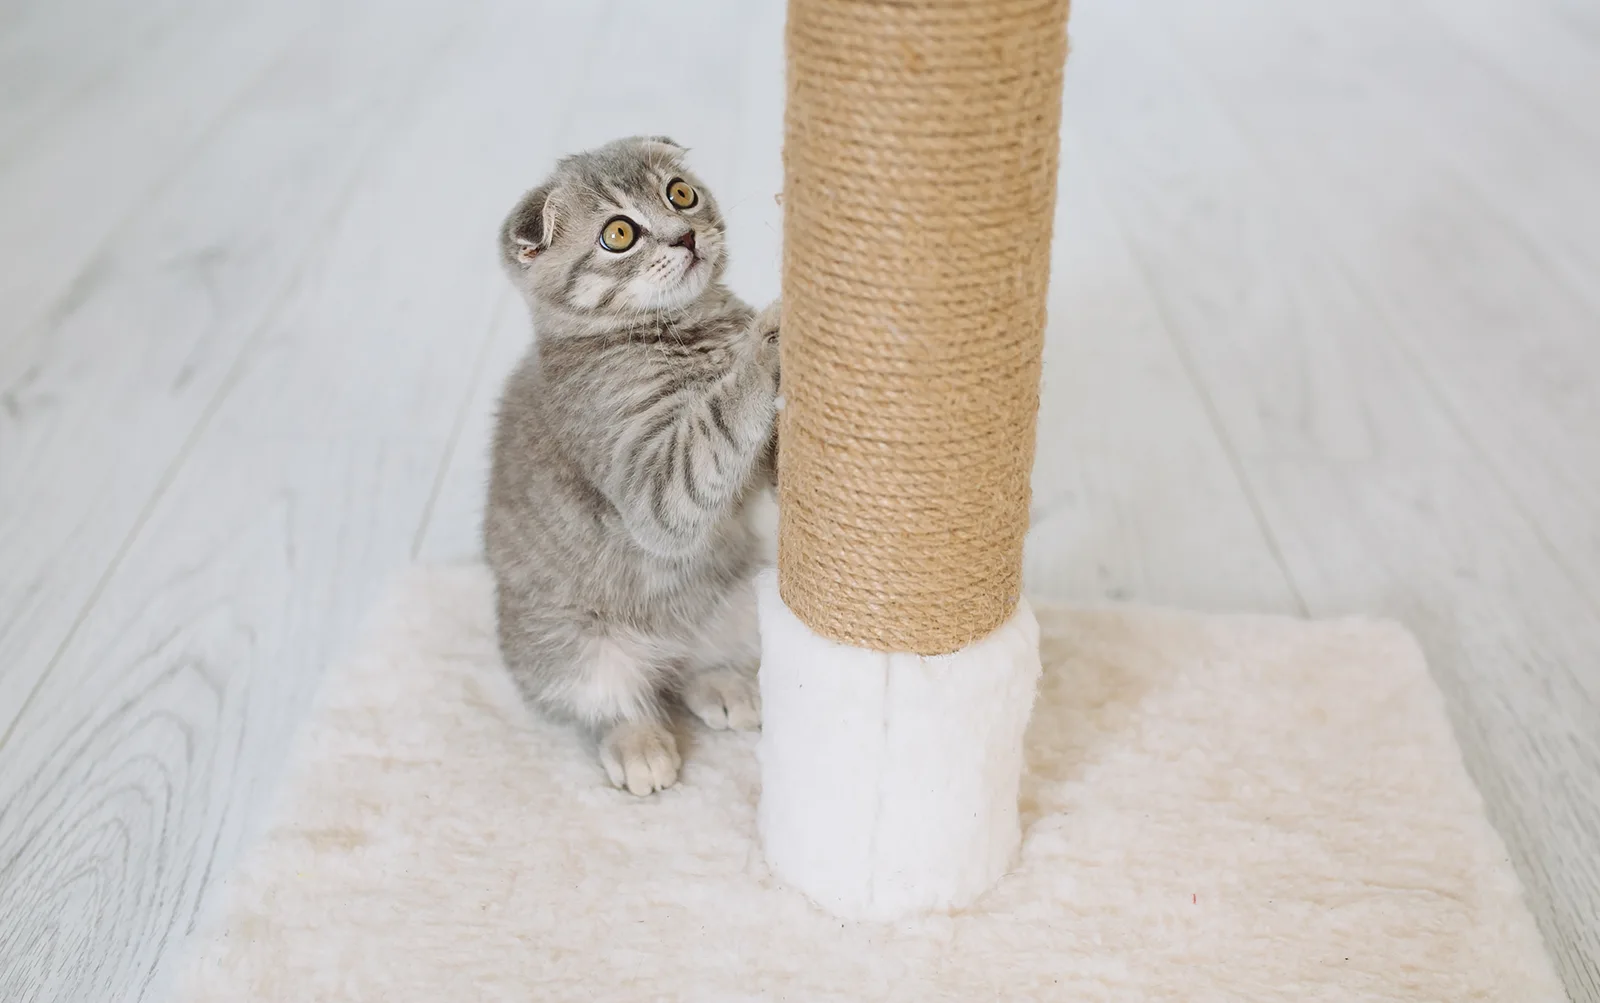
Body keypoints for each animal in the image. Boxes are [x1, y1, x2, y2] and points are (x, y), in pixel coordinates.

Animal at [486, 137, 780, 799]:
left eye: (680, 193)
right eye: (618, 234)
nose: (685, 236)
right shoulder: (649, 480)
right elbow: (716, 425)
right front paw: (769, 341)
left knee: (692, 669)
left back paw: (723, 684)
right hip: (567, 644)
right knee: (611, 700)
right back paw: (638, 743)